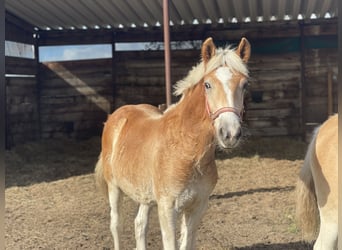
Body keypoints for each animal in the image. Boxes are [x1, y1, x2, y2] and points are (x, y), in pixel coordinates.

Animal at [95, 37, 250, 250]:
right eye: (207, 85)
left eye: (244, 85)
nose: (230, 133)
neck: (188, 150)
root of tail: (116, 116)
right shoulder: (167, 208)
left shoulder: (197, 206)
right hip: (114, 188)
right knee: (116, 224)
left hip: (145, 194)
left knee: (139, 224)